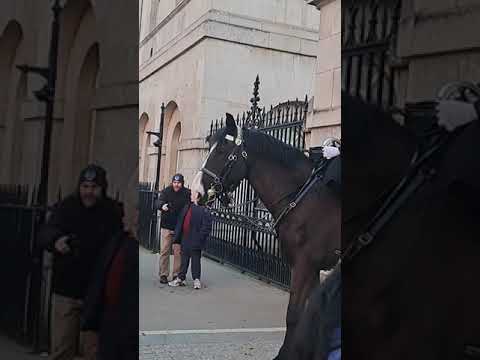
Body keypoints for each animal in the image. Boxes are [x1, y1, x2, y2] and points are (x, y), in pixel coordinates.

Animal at [191, 114, 342, 360]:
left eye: (222, 149)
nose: (196, 192)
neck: (303, 197)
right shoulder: (311, 268)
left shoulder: (304, 264)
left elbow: (293, 314)